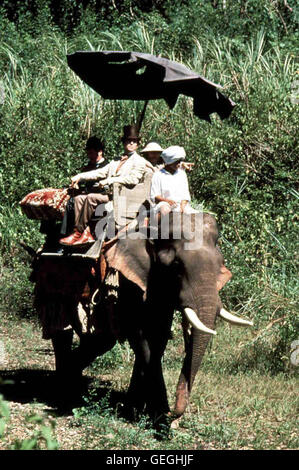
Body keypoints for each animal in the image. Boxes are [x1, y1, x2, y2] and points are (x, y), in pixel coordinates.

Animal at [28, 213, 253, 426]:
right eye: (176, 266)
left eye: (221, 266)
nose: (175, 415)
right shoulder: (129, 281)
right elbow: (141, 338)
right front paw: (159, 416)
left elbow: (158, 336)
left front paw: (136, 409)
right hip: (50, 284)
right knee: (62, 331)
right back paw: (63, 388)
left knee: (98, 341)